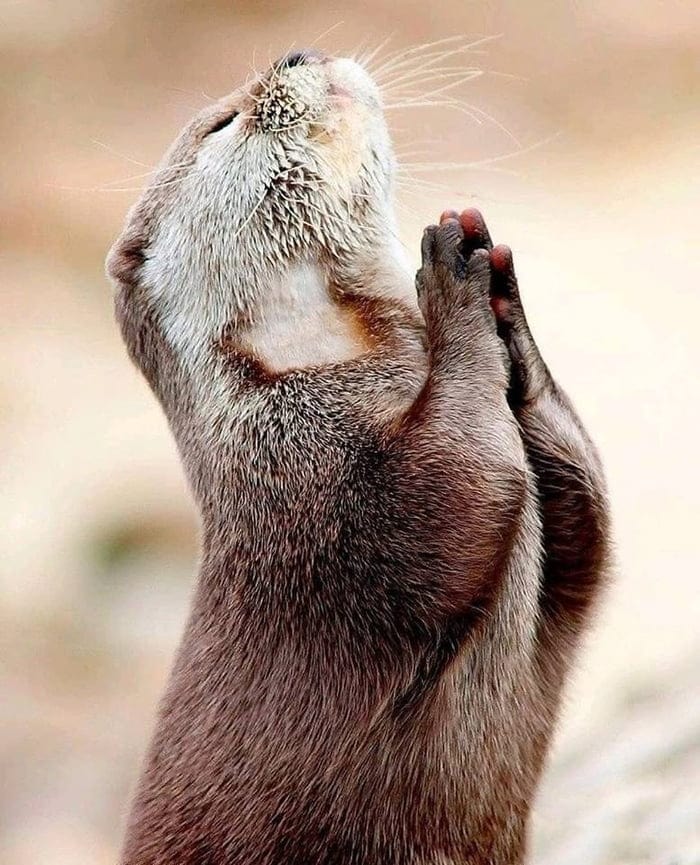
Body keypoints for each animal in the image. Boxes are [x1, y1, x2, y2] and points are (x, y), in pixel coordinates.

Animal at [106, 49, 609, 865]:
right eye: (223, 122)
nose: (295, 54)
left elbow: (586, 527)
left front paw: (504, 301)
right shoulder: (314, 491)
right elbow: (457, 487)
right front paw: (450, 277)